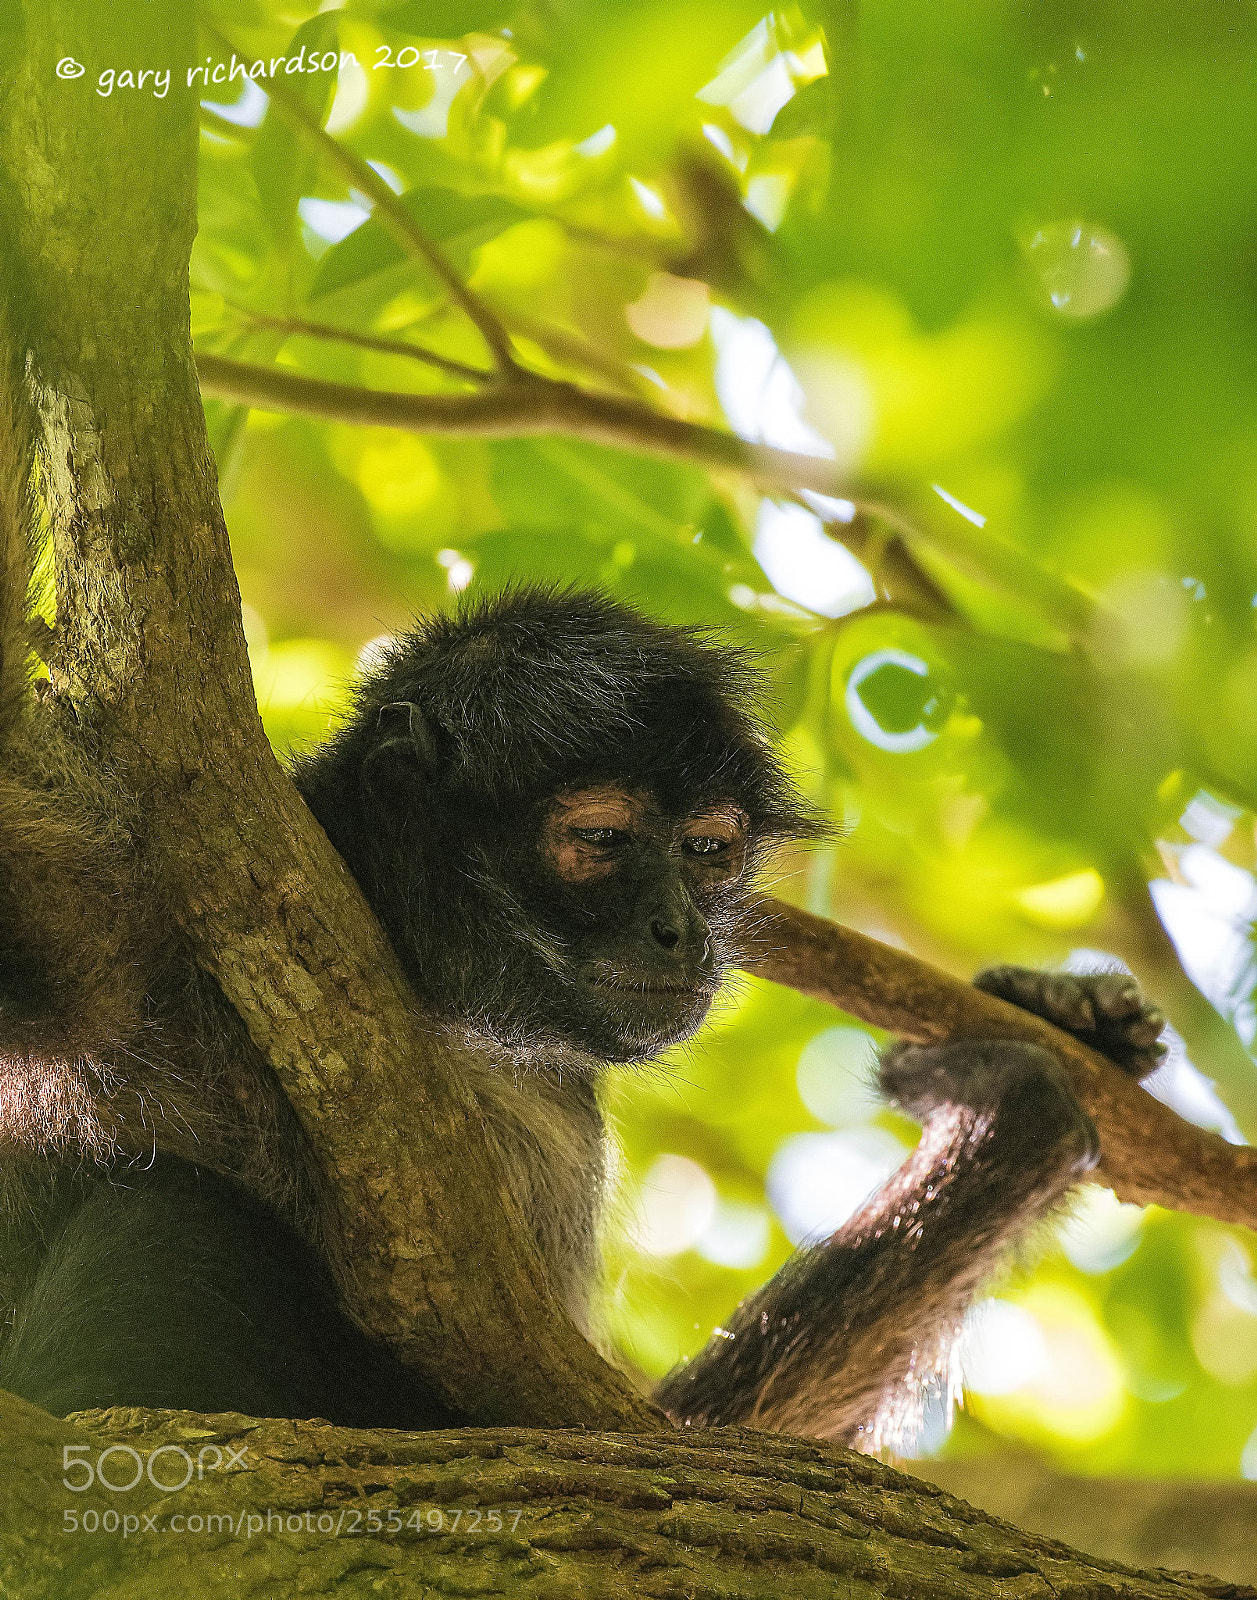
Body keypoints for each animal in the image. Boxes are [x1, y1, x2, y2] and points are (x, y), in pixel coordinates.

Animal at [0, 342, 1166, 1447]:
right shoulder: (149, 892)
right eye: (601, 839)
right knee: (172, 1214)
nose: (679, 931)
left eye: (706, 849)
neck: (430, 995)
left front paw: (1048, 1042)